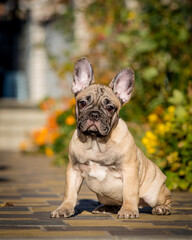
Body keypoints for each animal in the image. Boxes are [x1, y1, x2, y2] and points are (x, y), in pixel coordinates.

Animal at [50, 57, 172, 218]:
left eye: (110, 108)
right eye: (82, 103)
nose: (94, 114)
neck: (95, 141)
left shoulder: (129, 169)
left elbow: (129, 193)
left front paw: (128, 210)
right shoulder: (73, 170)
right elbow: (69, 193)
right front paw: (64, 209)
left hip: (154, 193)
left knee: (166, 199)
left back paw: (161, 208)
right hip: (103, 195)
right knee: (114, 203)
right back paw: (106, 208)